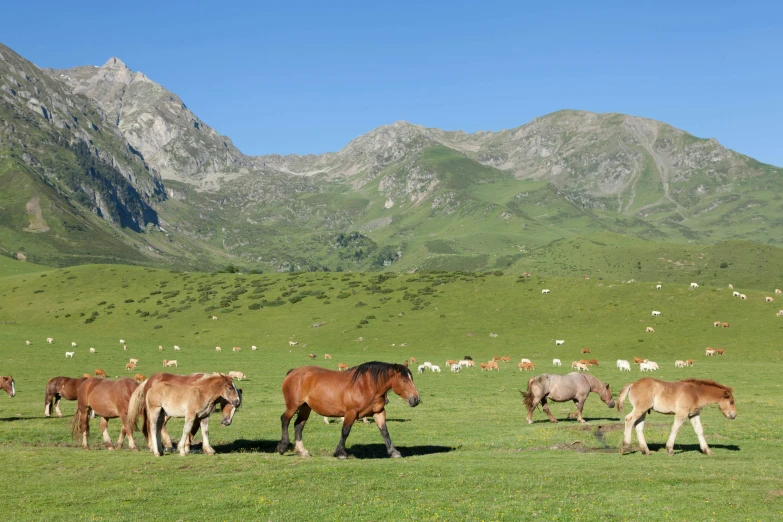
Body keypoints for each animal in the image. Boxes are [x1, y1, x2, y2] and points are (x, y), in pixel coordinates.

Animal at [278, 360, 420, 458]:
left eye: (412, 378)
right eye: (404, 380)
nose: (416, 399)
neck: (366, 386)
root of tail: (293, 372)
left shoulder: (378, 412)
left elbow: (384, 432)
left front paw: (393, 452)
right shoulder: (351, 413)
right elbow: (345, 431)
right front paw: (341, 452)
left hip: (305, 408)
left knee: (298, 425)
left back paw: (302, 451)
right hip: (293, 406)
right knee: (285, 420)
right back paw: (282, 446)